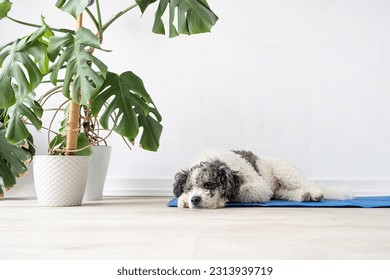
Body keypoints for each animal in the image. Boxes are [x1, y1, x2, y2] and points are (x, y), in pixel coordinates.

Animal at [173, 149, 350, 208]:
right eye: (189, 188)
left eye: (209, 184)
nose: (195, 199)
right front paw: (183, 200)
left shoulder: (260, 188)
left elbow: (242, 192)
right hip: (281, 189)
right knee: (285, 193)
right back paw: (303, 195)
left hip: (286, 172)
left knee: (310, 184)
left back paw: (315, 193)